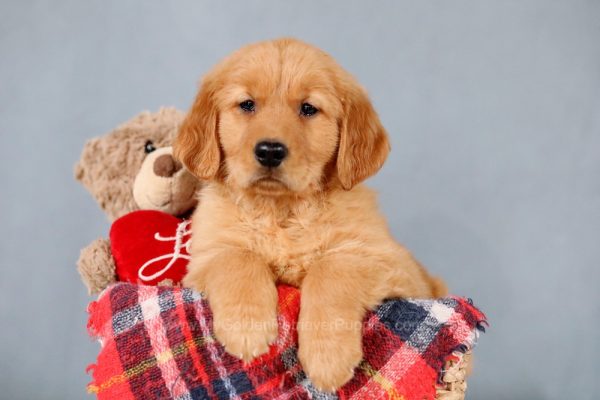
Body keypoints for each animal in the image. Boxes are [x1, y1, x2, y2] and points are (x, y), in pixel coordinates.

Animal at [173, 37, 446, 390]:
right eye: (247, 105)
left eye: (308, 109)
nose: (270, 151)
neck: (282, 211)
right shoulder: (207, 254)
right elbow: (238, 257)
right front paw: (246, 328)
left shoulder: (390, 263)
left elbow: (330, 268)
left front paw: (328, 357)